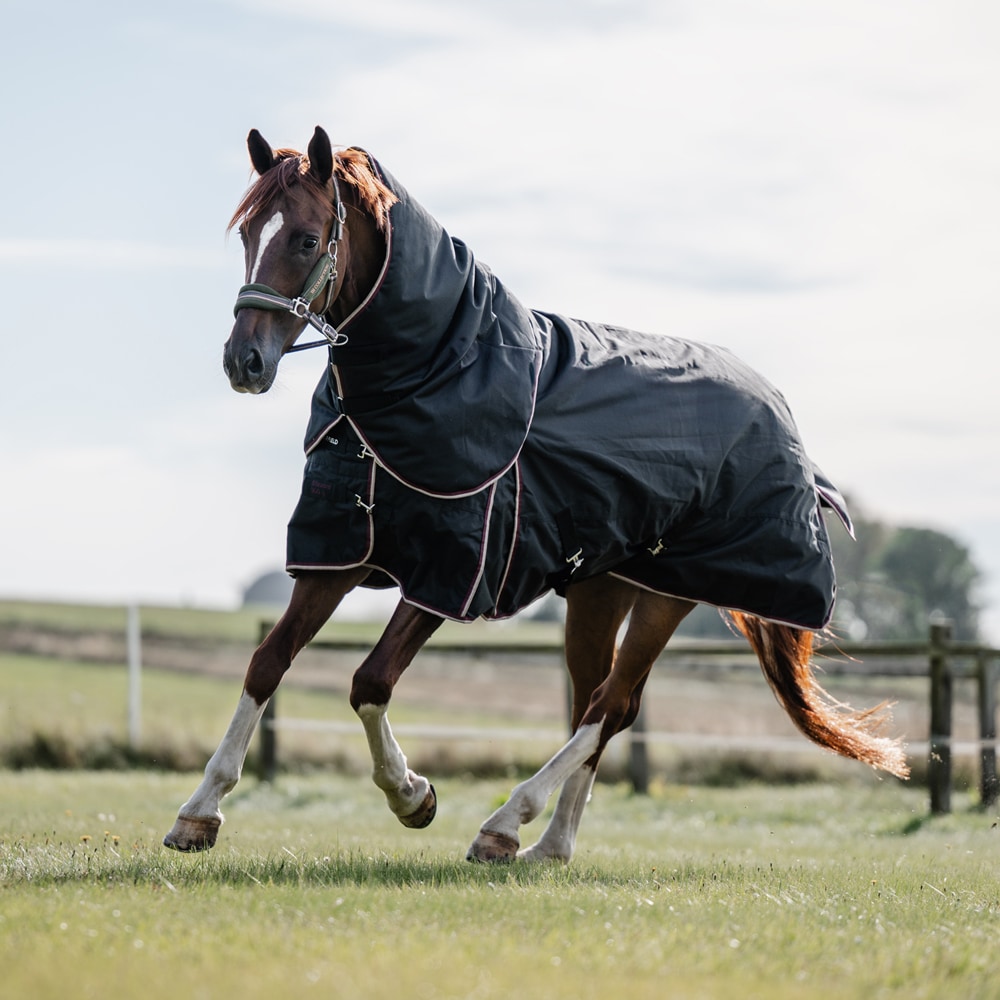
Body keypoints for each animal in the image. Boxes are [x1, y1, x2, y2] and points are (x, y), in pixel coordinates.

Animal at [164, 123, 908, 860]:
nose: (244, 362)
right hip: (602, 590)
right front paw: (199, 812)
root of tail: (779, 413)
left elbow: (369, 680)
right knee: (599, 704)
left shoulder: (452, 571)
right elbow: (267, 663)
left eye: (305, 239)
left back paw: (506, 822)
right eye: (247, 234)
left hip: (668, 595)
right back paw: (549, 845)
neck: (433, 375)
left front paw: (413, 796)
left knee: (609, 707)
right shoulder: (341, 554)